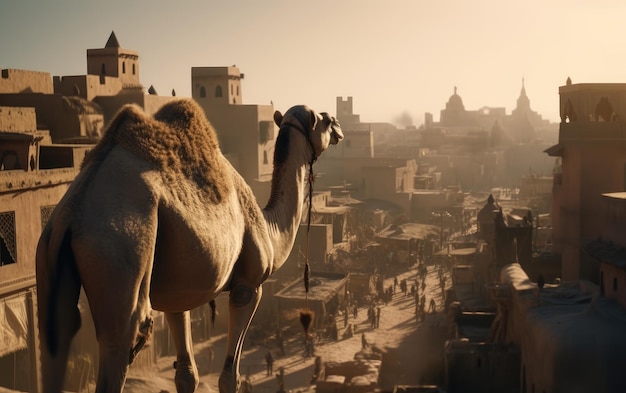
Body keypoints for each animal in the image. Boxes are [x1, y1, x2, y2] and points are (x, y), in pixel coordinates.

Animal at [35, 96, 342, 390]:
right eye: (324, 121)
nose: (338, 125)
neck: (269, 227)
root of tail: (73, 212)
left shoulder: (176, 298)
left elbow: (186, 375)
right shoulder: (248, 285)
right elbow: (229, 377)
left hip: (50, 259)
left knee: (56, 335)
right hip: (120, 252)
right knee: (124, 334)